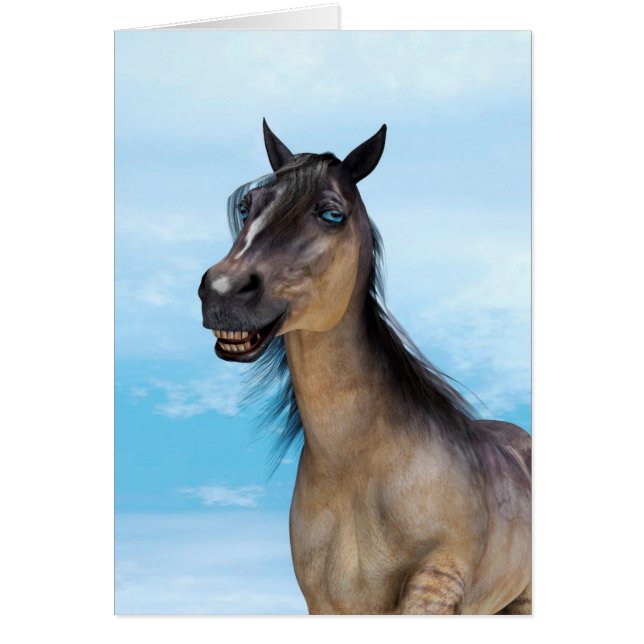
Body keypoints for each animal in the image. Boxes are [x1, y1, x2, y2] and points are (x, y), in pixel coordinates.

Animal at [198, 120, 531, 615]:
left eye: (332, 214)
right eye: (247, 206)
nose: (222, 291)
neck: (356, 472)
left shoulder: (433, 589)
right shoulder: (325, 605)